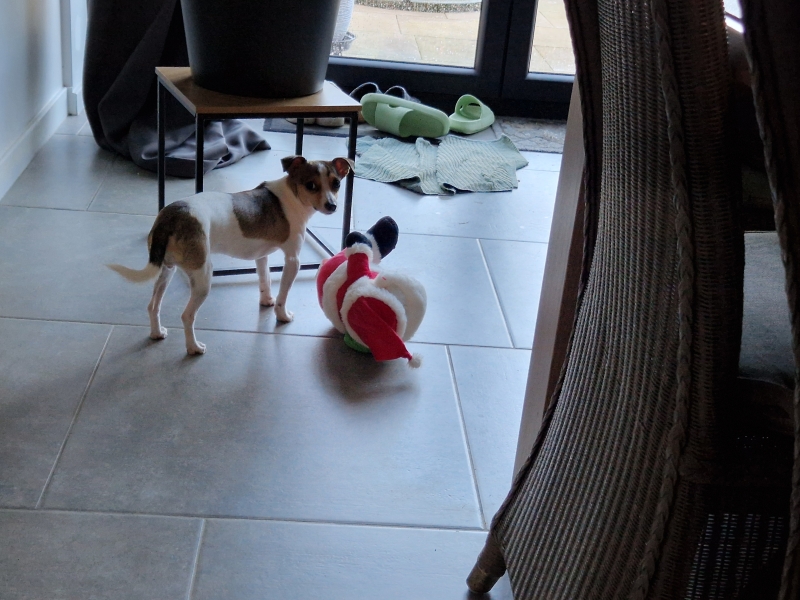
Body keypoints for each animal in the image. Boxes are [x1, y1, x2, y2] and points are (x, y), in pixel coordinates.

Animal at [108, 155, 354, 355]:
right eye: (311, 185)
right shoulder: (293, 261)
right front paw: (282, 314)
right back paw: (193, 347)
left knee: (153, 305)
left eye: (336, 184)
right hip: (202, 276)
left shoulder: (261, 256)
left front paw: (266, 300)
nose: (331, 206)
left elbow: (265, 279)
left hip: (167, 270)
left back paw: (156, 332)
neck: (292, 196)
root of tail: (171, 217)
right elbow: (283, 295)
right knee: (187, 316)